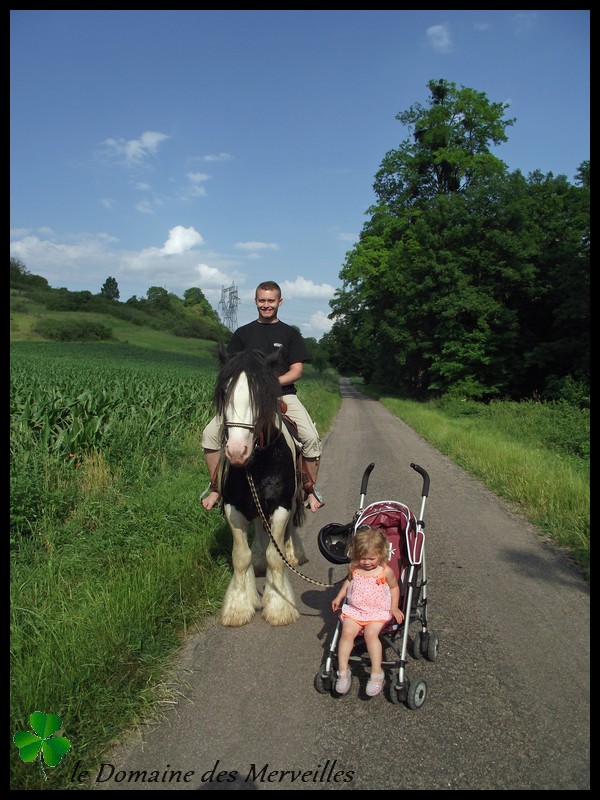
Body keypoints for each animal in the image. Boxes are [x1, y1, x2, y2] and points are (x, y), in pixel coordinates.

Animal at [214, 348, 308, 624]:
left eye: (262, 394)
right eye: (224, 392)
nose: (237, 451)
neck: (257, 463)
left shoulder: (281, 505)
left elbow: (275, 558)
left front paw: (279, 607)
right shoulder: (233, 506)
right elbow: (240, 557)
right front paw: (239, 605)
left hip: (293, 500)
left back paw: (292, 553)